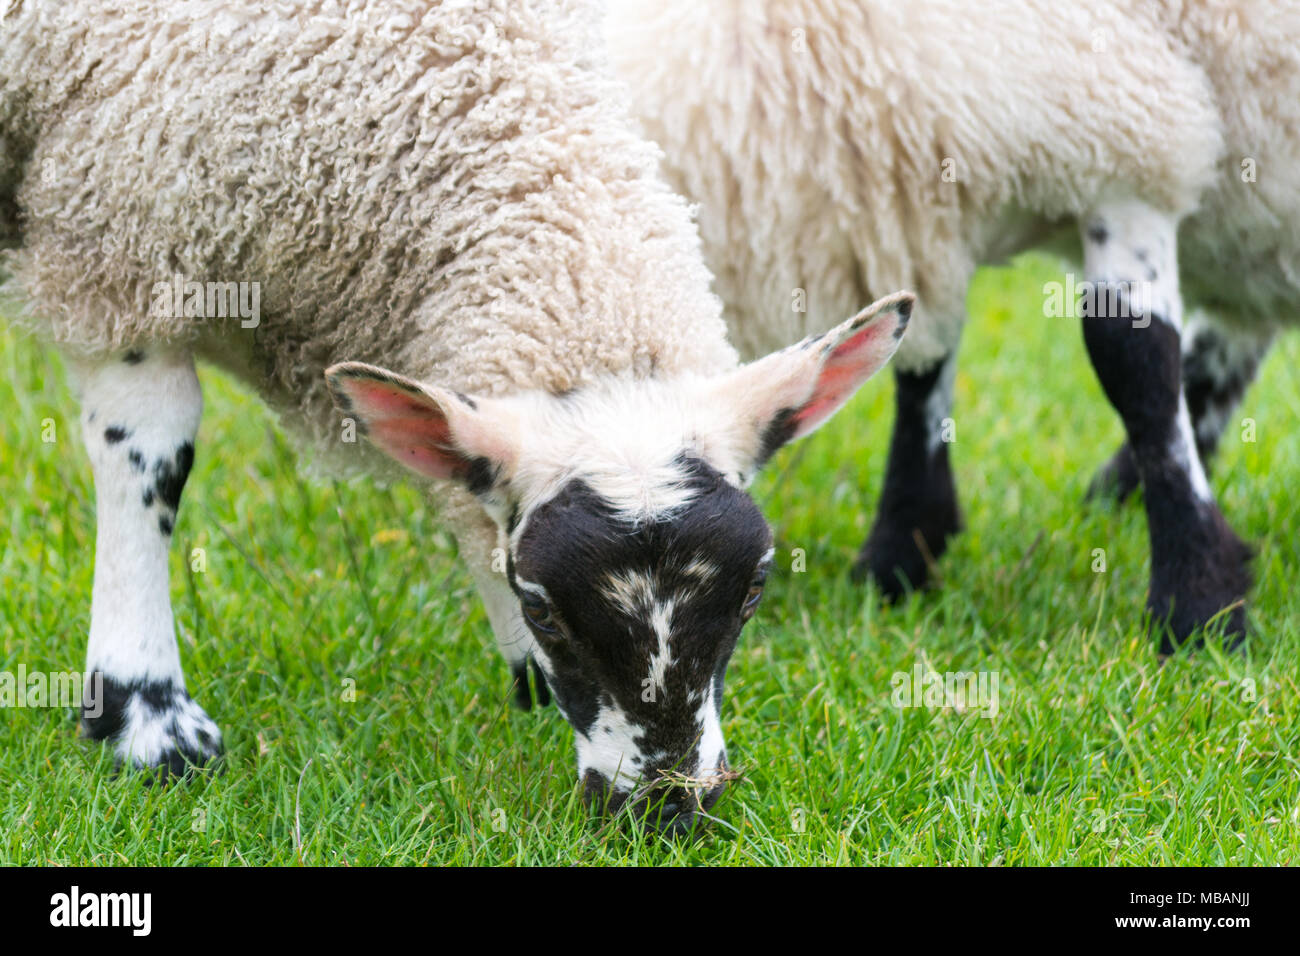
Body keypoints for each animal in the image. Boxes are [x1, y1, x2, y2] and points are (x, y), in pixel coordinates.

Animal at [0, 0, 915, 832]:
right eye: (542, 605)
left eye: (756, 587)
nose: (666, 810)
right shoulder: (119, 241)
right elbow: (151, 455)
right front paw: (143, 719)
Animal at [605, 0, 1300, 650]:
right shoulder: (912, 203)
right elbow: (920, 362)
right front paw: (900, 554)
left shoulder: (1130, 141)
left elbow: (1135, 366)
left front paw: (1199, 604)